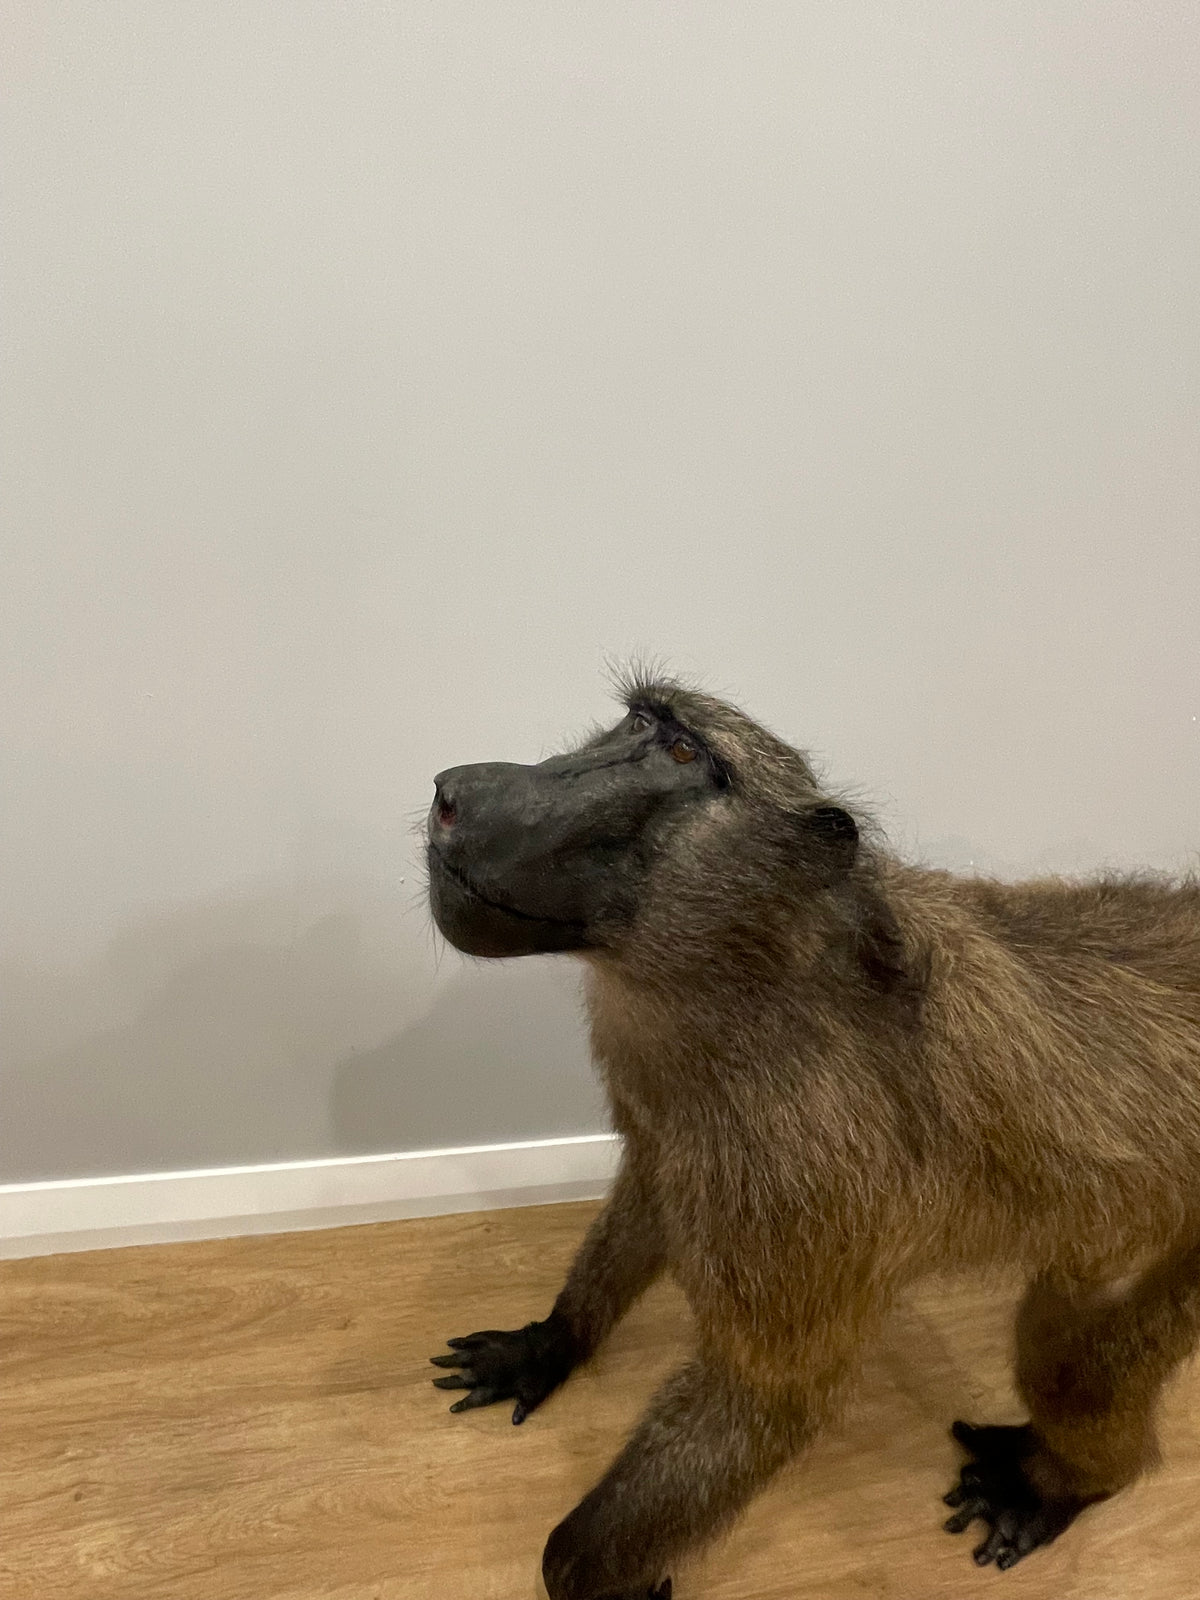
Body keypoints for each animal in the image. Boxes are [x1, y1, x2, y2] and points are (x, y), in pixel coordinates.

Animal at [424, 671, 1200, 1597]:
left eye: (683, 751)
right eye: (636, 720)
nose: (452, 796)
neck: (756, 973)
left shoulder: (803, 1167)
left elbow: (776, 1390)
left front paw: (612, 1577)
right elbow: (650, 1187)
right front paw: (548, 1345)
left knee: (1065, 1358)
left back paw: (1063, 1483)